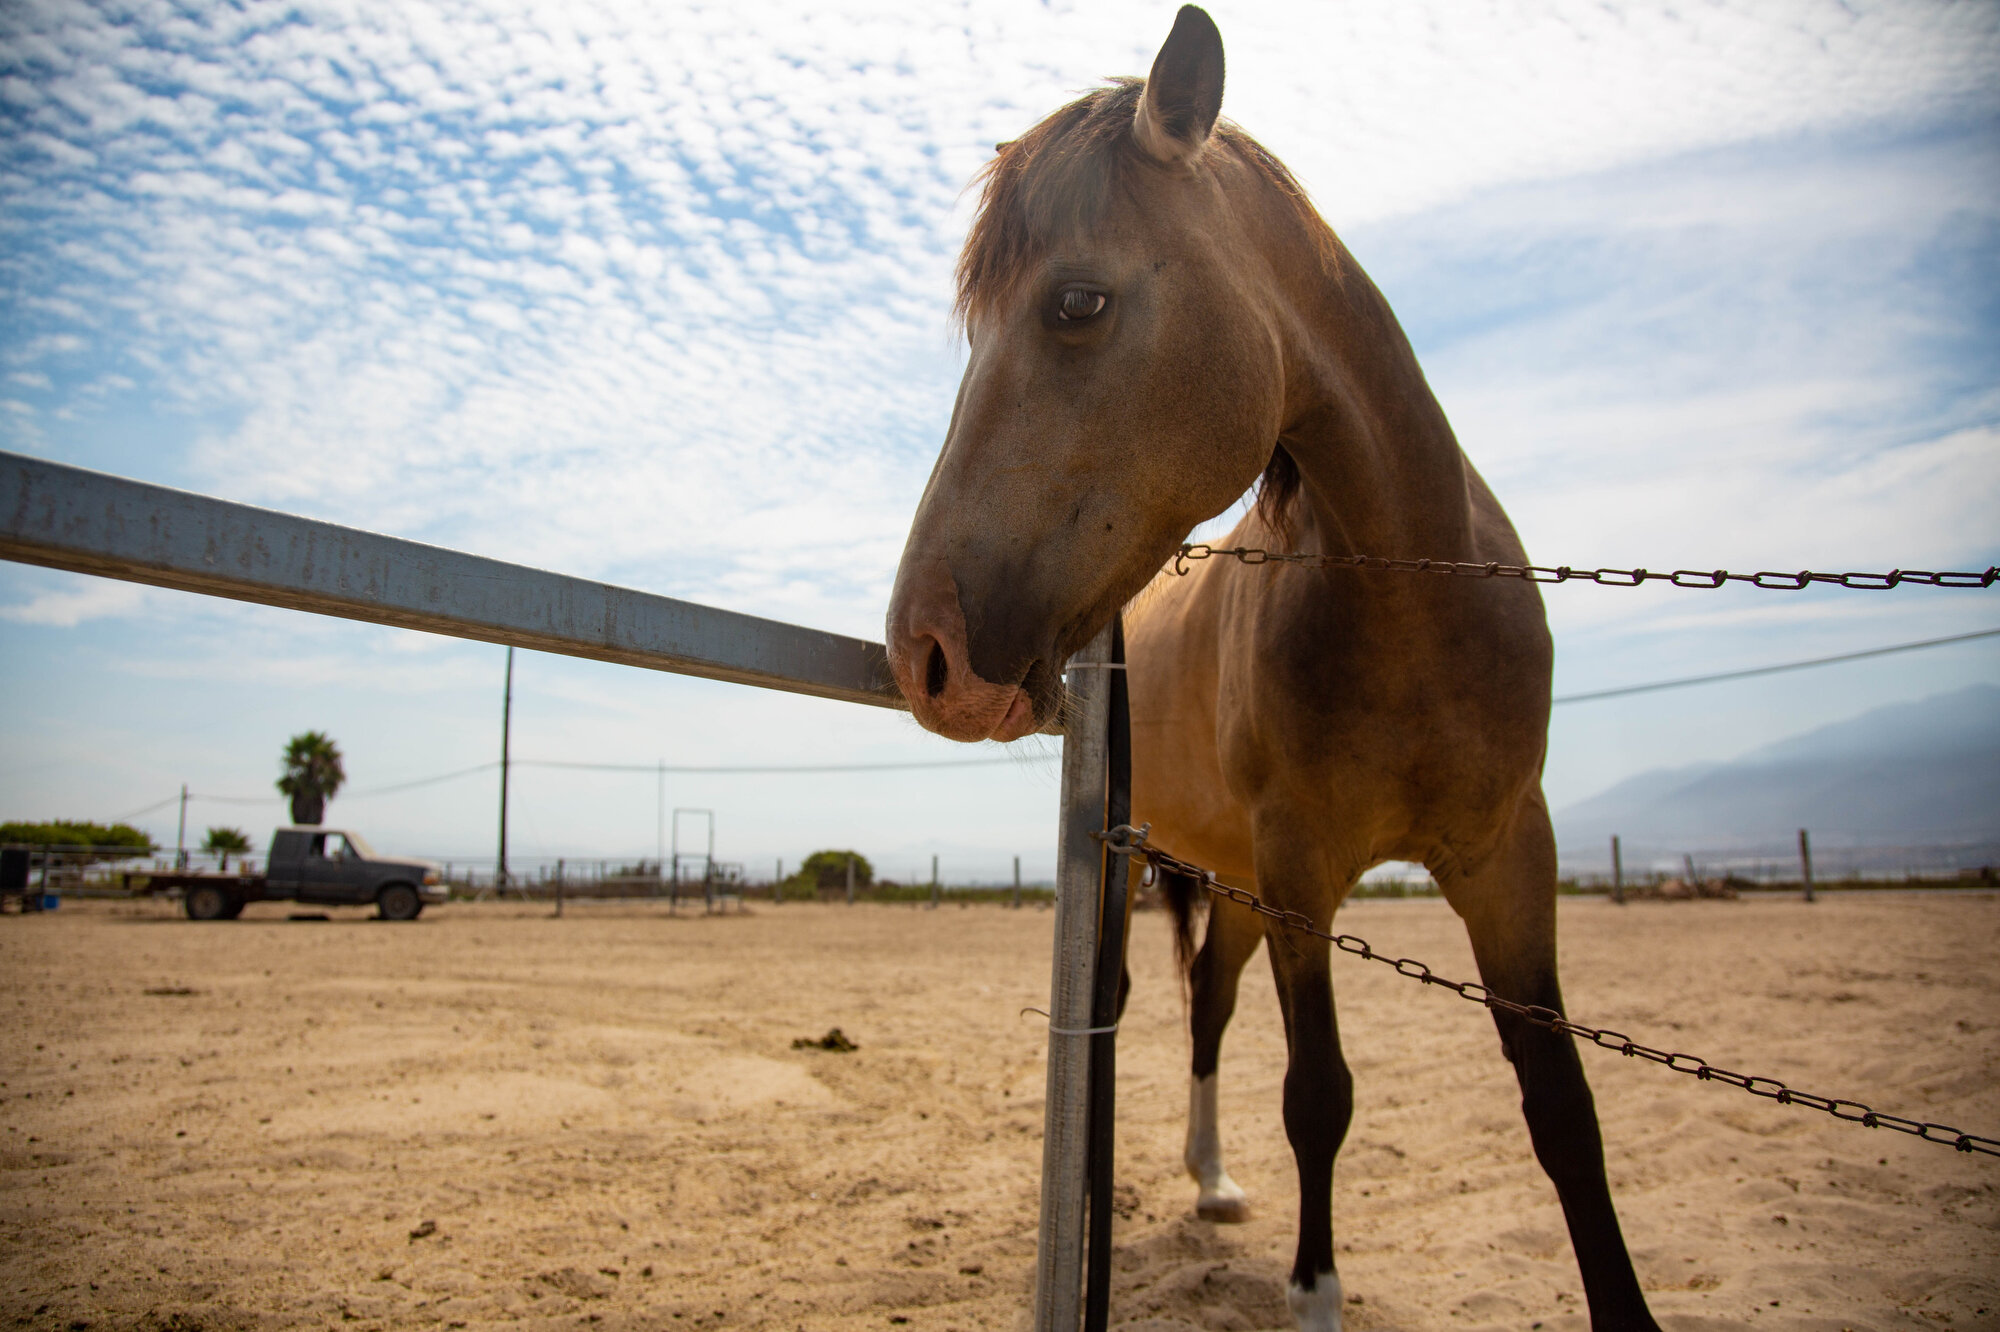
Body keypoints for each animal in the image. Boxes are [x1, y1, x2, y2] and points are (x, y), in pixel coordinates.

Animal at [888, 10, 1656, 1328]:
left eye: (1076, 302)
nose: (921, 653)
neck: (1410, 601)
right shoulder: (1303, 873)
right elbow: (1319, 1093)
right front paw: (1313, 1291)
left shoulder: (1510, 855)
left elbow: (1561, 1105)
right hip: (1148, 865)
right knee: (1121, 1007)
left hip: (1236, 884)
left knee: (1207, 1002)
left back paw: (1209, 1179)